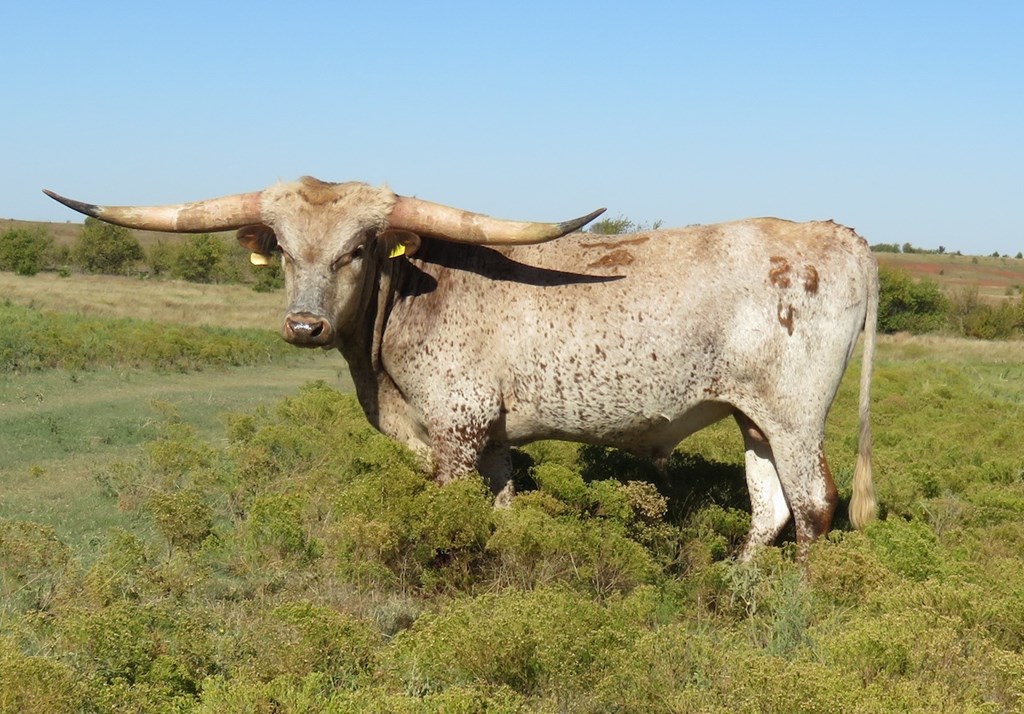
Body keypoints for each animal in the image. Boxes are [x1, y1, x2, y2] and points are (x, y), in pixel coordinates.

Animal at [44, 176, 877, 557]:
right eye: (280, 249)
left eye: (357, 249)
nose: (305, 325)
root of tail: (838, 234)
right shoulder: (496, 438)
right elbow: (500, 511)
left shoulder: (455, 431)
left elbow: (445, 521)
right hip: (752, 417)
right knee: (768, 508)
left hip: (798, 417)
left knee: (813, 508)